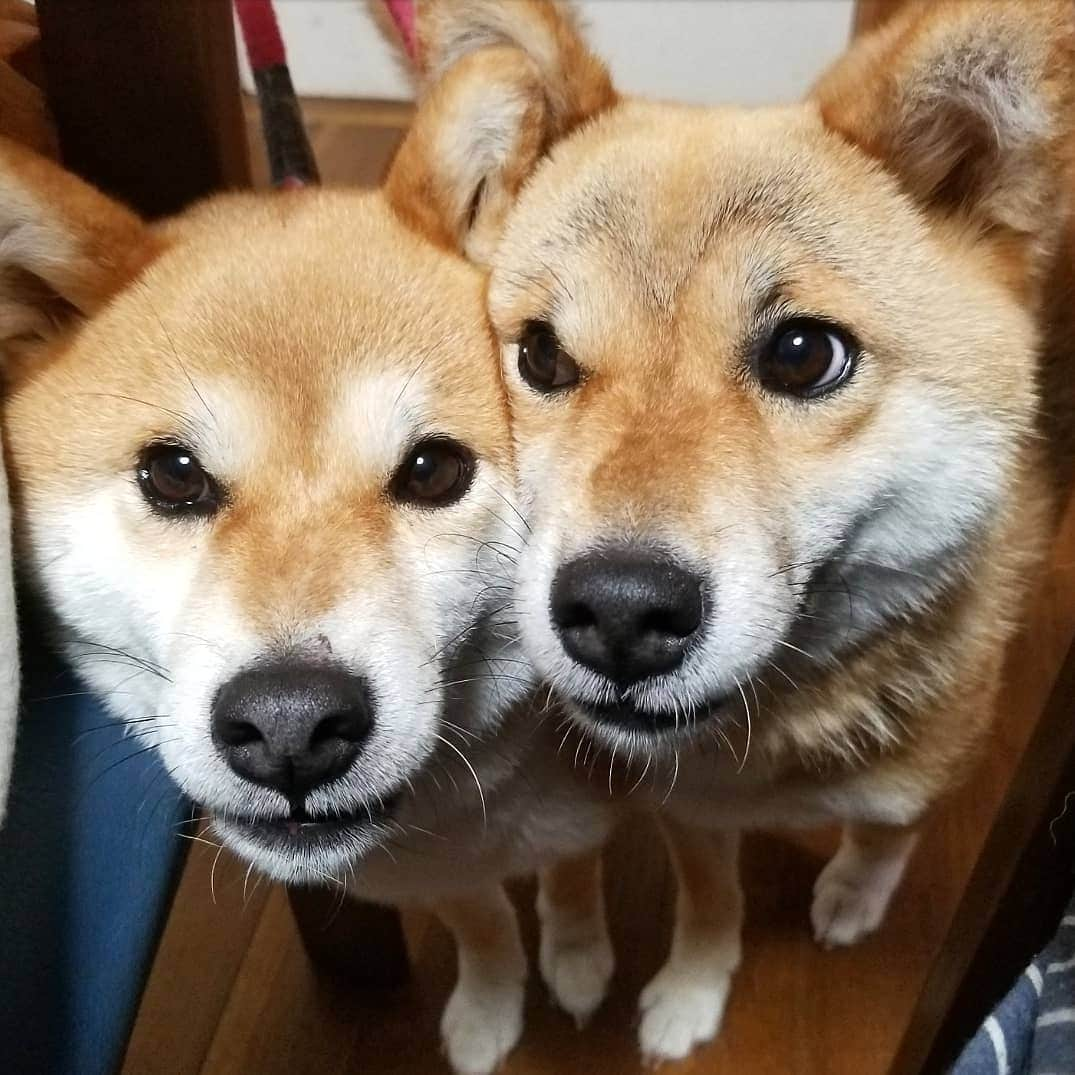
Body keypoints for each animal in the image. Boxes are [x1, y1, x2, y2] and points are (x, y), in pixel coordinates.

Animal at [2, 102, 614, 1075]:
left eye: (433, 470)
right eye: (173, 475)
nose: (290, 724)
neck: (468, 806)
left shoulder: (593, 813)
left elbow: (573, 874)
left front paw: (578, 954)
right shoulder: (425, 873)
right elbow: (479, 924)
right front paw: (489, 1004)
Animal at [397, 0, 1075, 1057]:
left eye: (802, 354)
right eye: (540, 355)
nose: (617, 611)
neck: (775, 738)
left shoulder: (924, 773)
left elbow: (884, 833)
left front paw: (852, 894)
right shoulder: (691, 811)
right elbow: (712, 900)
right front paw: (692, 986)